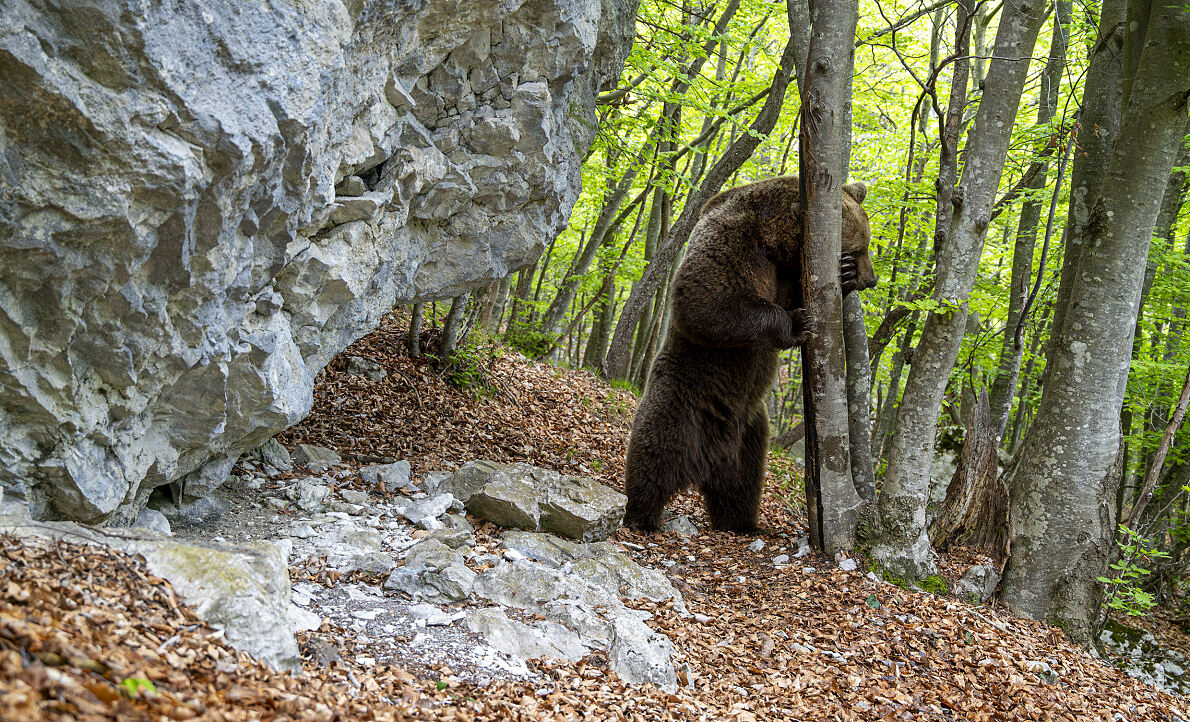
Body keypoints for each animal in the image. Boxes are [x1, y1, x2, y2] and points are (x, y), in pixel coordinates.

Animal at [622, 175, 876, 534]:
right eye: (858, 247)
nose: (871, 279)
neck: (773, 241)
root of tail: (708, 457)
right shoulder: (736, 240)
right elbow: (705, 297)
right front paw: (797, 322)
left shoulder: (785, 272)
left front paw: (847, 277)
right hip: (681, 400)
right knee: (653, 452)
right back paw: (641, 515)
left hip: (750, 432)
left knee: (742, 482)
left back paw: (742, 523)